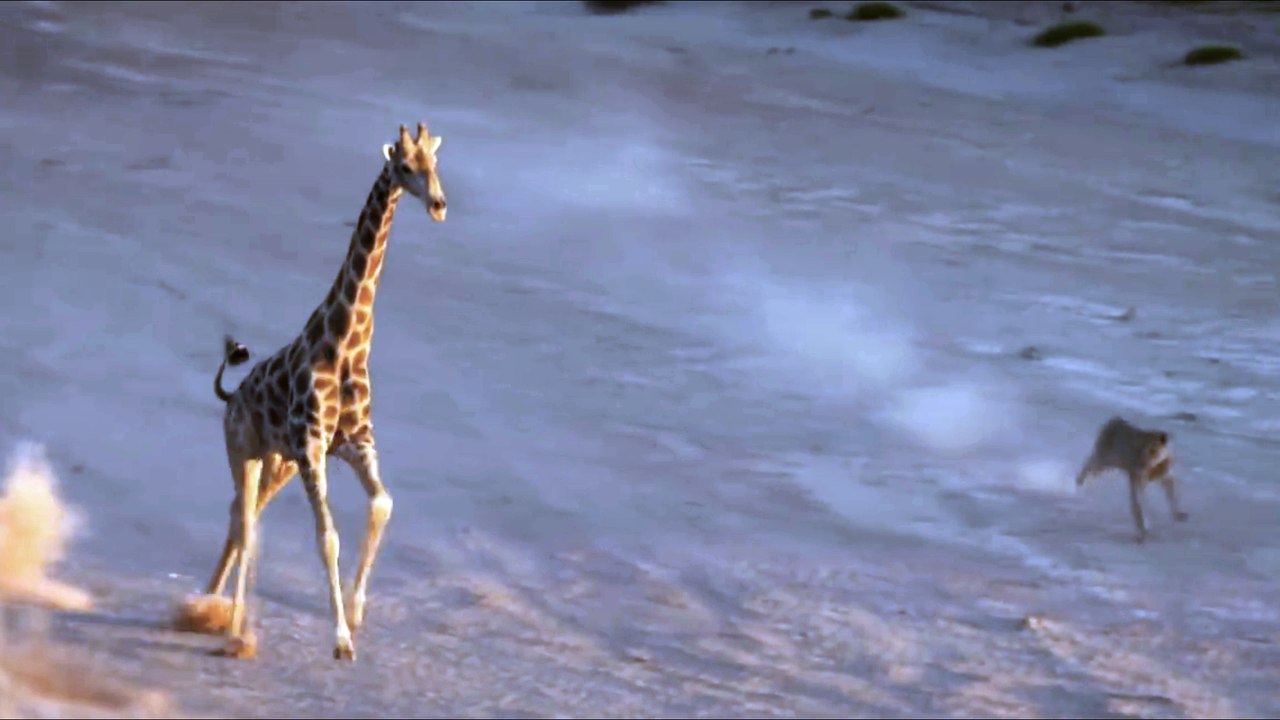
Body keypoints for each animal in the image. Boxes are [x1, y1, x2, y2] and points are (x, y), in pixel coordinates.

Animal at [176, 122, 447, 661]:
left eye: (434, 163)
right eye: (405, 166)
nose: (439, 204)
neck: (345, 344)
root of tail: (230, 397)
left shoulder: (354, 441)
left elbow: (383, 505)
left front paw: (357, 612)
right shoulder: (312, 446)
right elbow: (327, 536)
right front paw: (340, 639)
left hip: (276, 463)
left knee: (243, 518)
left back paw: (213, 604)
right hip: (245, 451)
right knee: (245, 521)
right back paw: (229, 624)